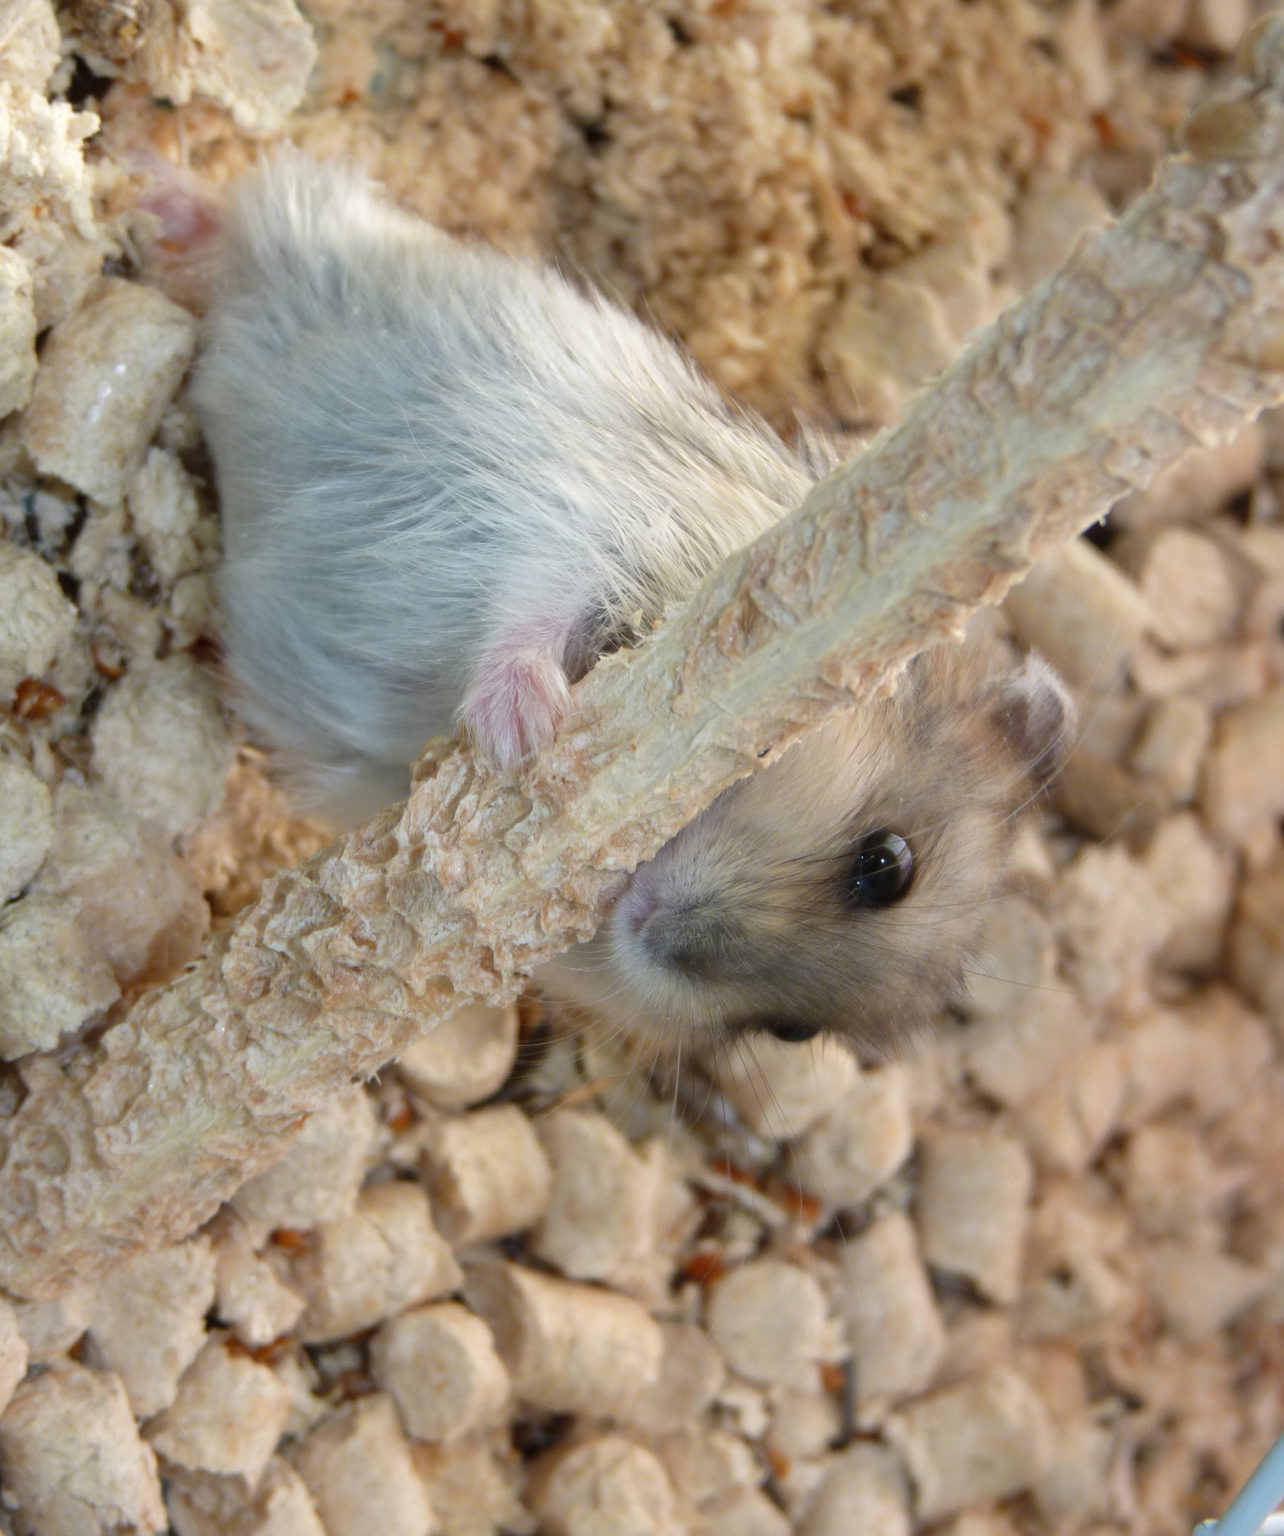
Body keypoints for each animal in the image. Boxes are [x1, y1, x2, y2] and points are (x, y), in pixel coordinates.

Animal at [193, 154, 1073, 1056]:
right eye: (885, 863)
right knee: (263, 215)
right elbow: (532, 615)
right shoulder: (597, 532)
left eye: (790, 1033)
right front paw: (521, 736)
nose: (655, 935)